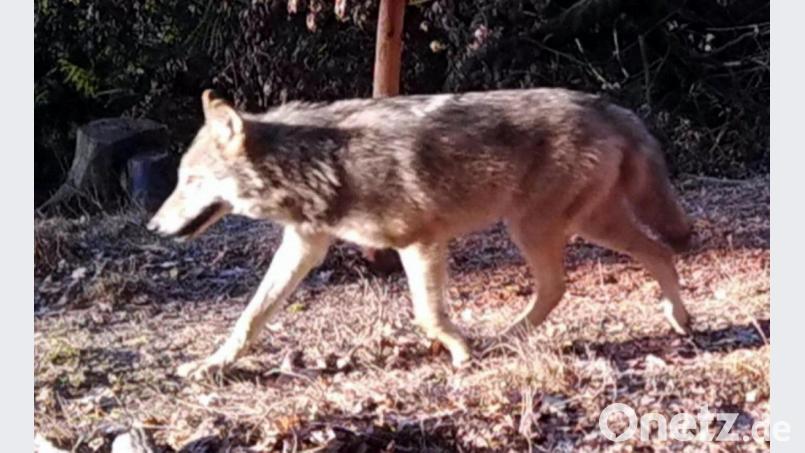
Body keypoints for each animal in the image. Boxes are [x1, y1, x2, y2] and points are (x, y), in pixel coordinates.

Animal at [148, 88, 694, 379]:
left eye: (189, 181)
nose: (153, 225)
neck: (322, 164)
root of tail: (609, 105)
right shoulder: (305, 245)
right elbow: (250, 317)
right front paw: (210, 366)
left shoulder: (420, 242)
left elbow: (429, 315)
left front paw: (460, 353)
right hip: (555, 226)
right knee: (594, 274)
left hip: (546, 227)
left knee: (646, 254)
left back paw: (677, 318)